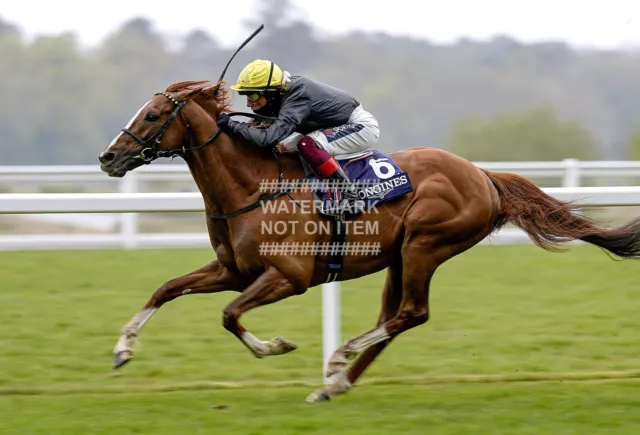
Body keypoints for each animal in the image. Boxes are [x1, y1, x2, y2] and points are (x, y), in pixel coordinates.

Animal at [97, 80, 636, 404]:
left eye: (152, 116)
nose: (108, 157)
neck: (253, 187)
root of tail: (483, 175)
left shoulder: (289, 277)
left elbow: (230, 315)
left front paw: (278, 345)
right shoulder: (232, 270)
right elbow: (166, 288)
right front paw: (123, 349)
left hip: (425, 244)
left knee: (412, 313)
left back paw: (338, 361)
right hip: (399, 257)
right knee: (394, 319)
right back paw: (335, 384)